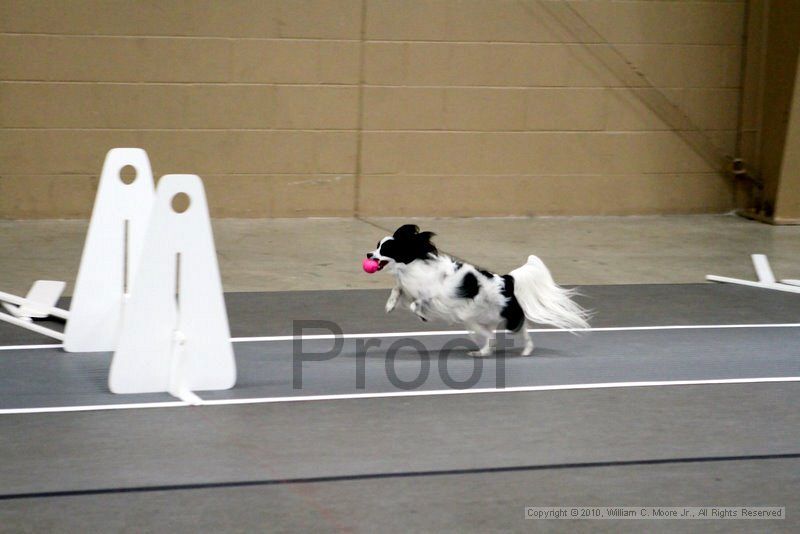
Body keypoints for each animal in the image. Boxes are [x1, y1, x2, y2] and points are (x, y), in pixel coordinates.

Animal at [368, 224, 588, 358]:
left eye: (385, 249)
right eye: (377, 246)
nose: (369, 254)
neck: (412, 263)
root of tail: (507, 280)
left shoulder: (432, 295)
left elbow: (417, 304)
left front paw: (422, 315)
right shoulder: (408, 287)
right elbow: (397, 289)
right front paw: (390, 305)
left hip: (487, 318)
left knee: (515, 329)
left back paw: (520, 350)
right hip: (474, 321)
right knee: (493, 336)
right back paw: (484, 352)